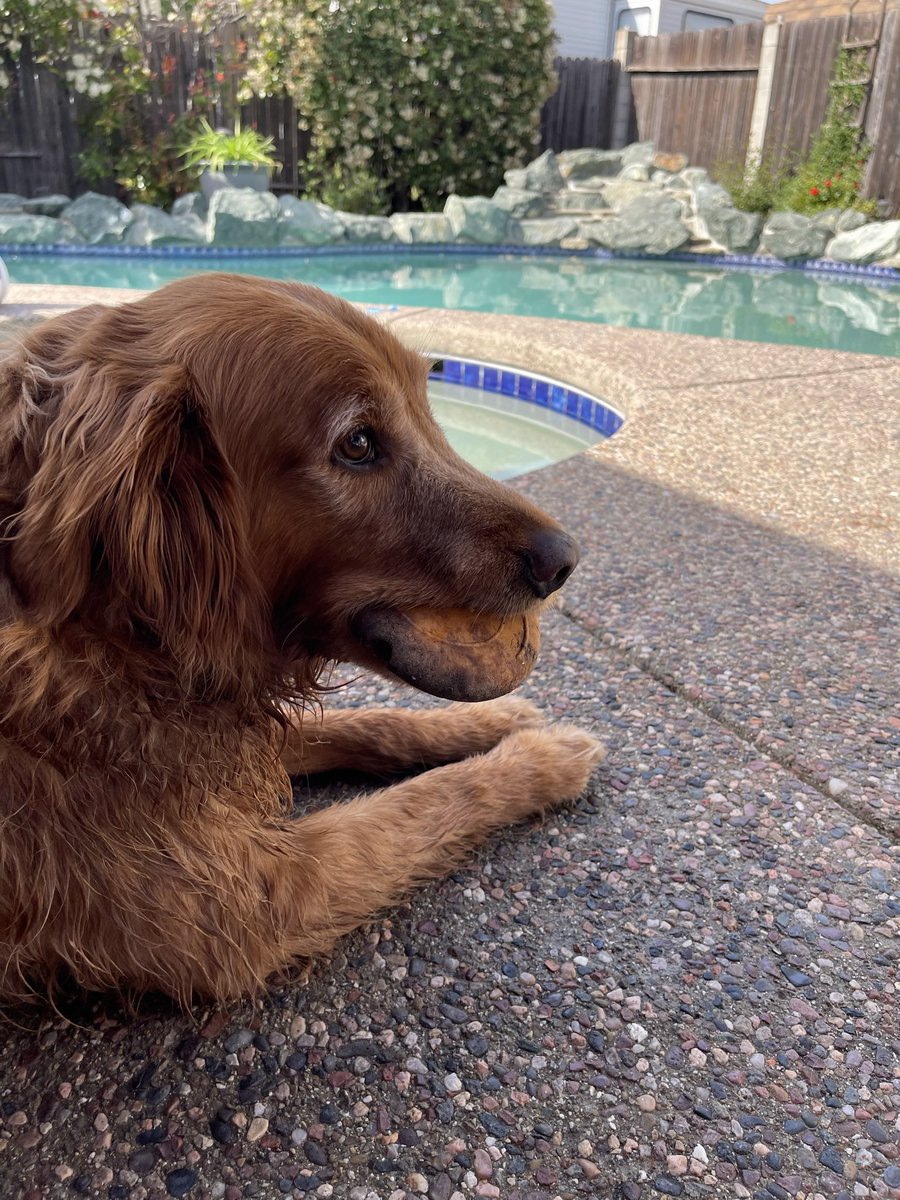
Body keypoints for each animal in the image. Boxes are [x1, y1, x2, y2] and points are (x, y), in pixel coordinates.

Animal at [1, 276, 607, 1008]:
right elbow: (422, 803)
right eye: (358, 444)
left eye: (424, 402)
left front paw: (485, 723)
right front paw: (537, 759)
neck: (124, 636)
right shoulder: (250, 903)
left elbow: (364, 724)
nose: (565, 558)